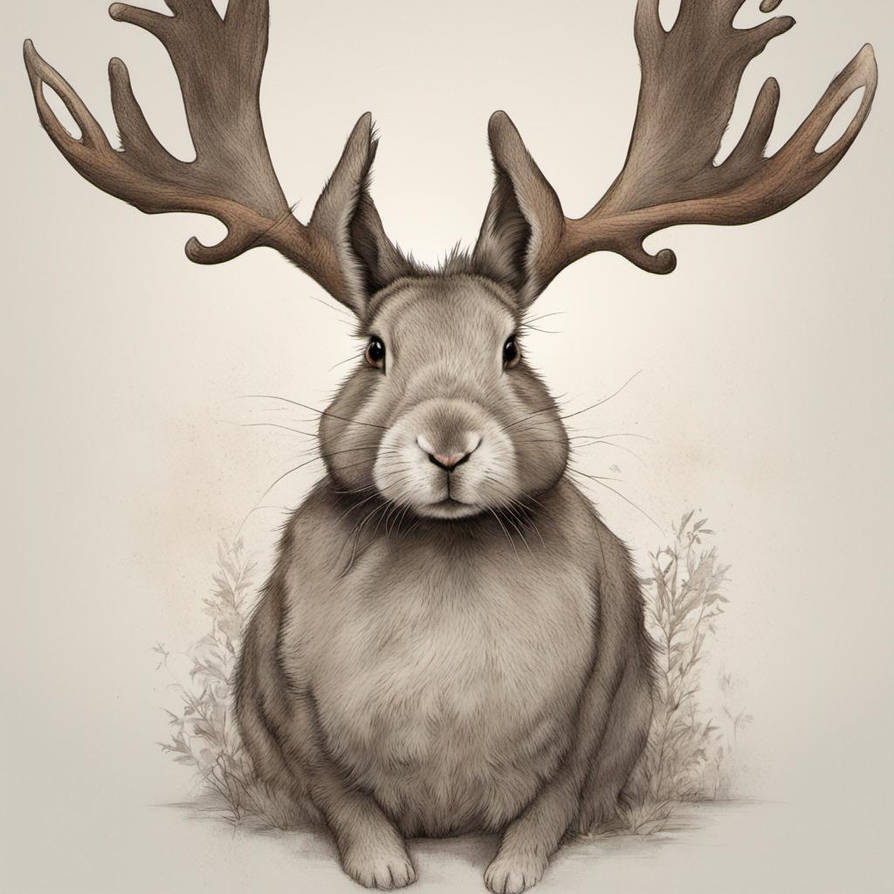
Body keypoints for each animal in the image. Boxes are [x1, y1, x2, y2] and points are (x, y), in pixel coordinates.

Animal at [24, 2, 876, 892]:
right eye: (374, 350)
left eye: (512, 349)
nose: (447, 446)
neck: (446, 547)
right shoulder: (285, 696)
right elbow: (338, 789)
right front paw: (385, 868)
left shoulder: (602, 691)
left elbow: (555, 796)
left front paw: (511, 872)